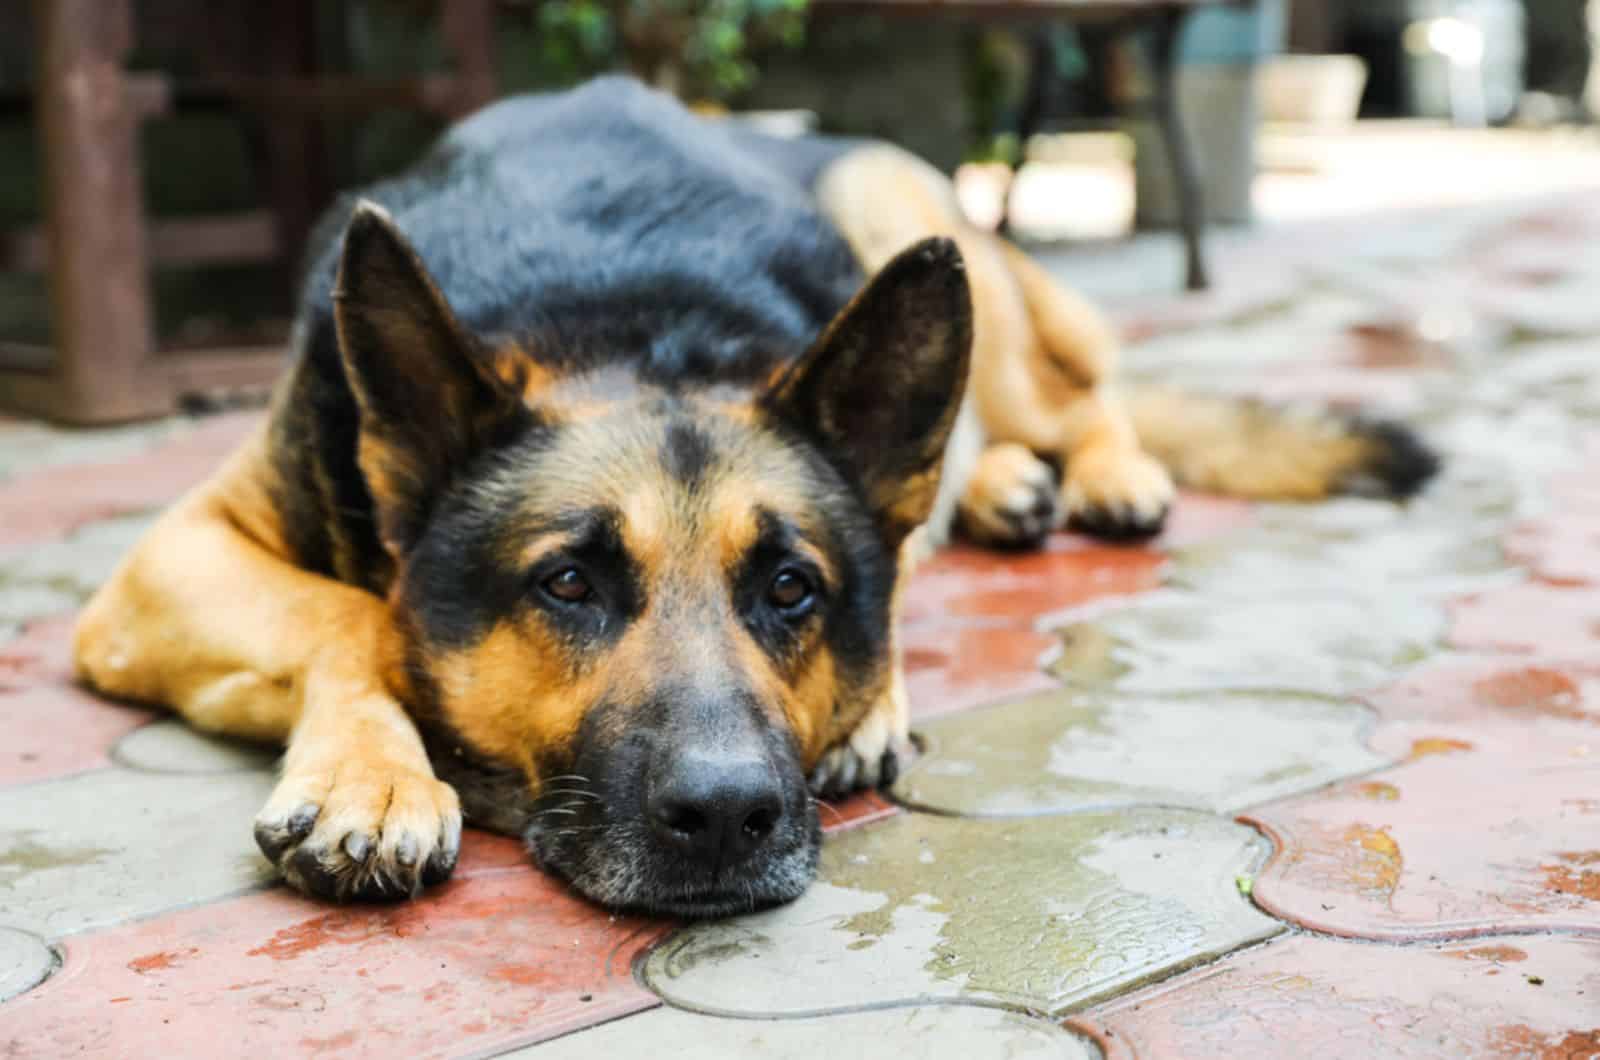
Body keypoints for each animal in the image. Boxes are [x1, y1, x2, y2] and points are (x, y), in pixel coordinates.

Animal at [72, 76, 1440, 922]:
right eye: (567, 582)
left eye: (790, 586)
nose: (729, 816)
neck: (623, 322)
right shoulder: (161, 564)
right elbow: (352, 615)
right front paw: (375, 774)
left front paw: (875, 696)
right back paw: (1007, 488)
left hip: (919, 228)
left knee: (1081, 395)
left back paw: (1099, 474)